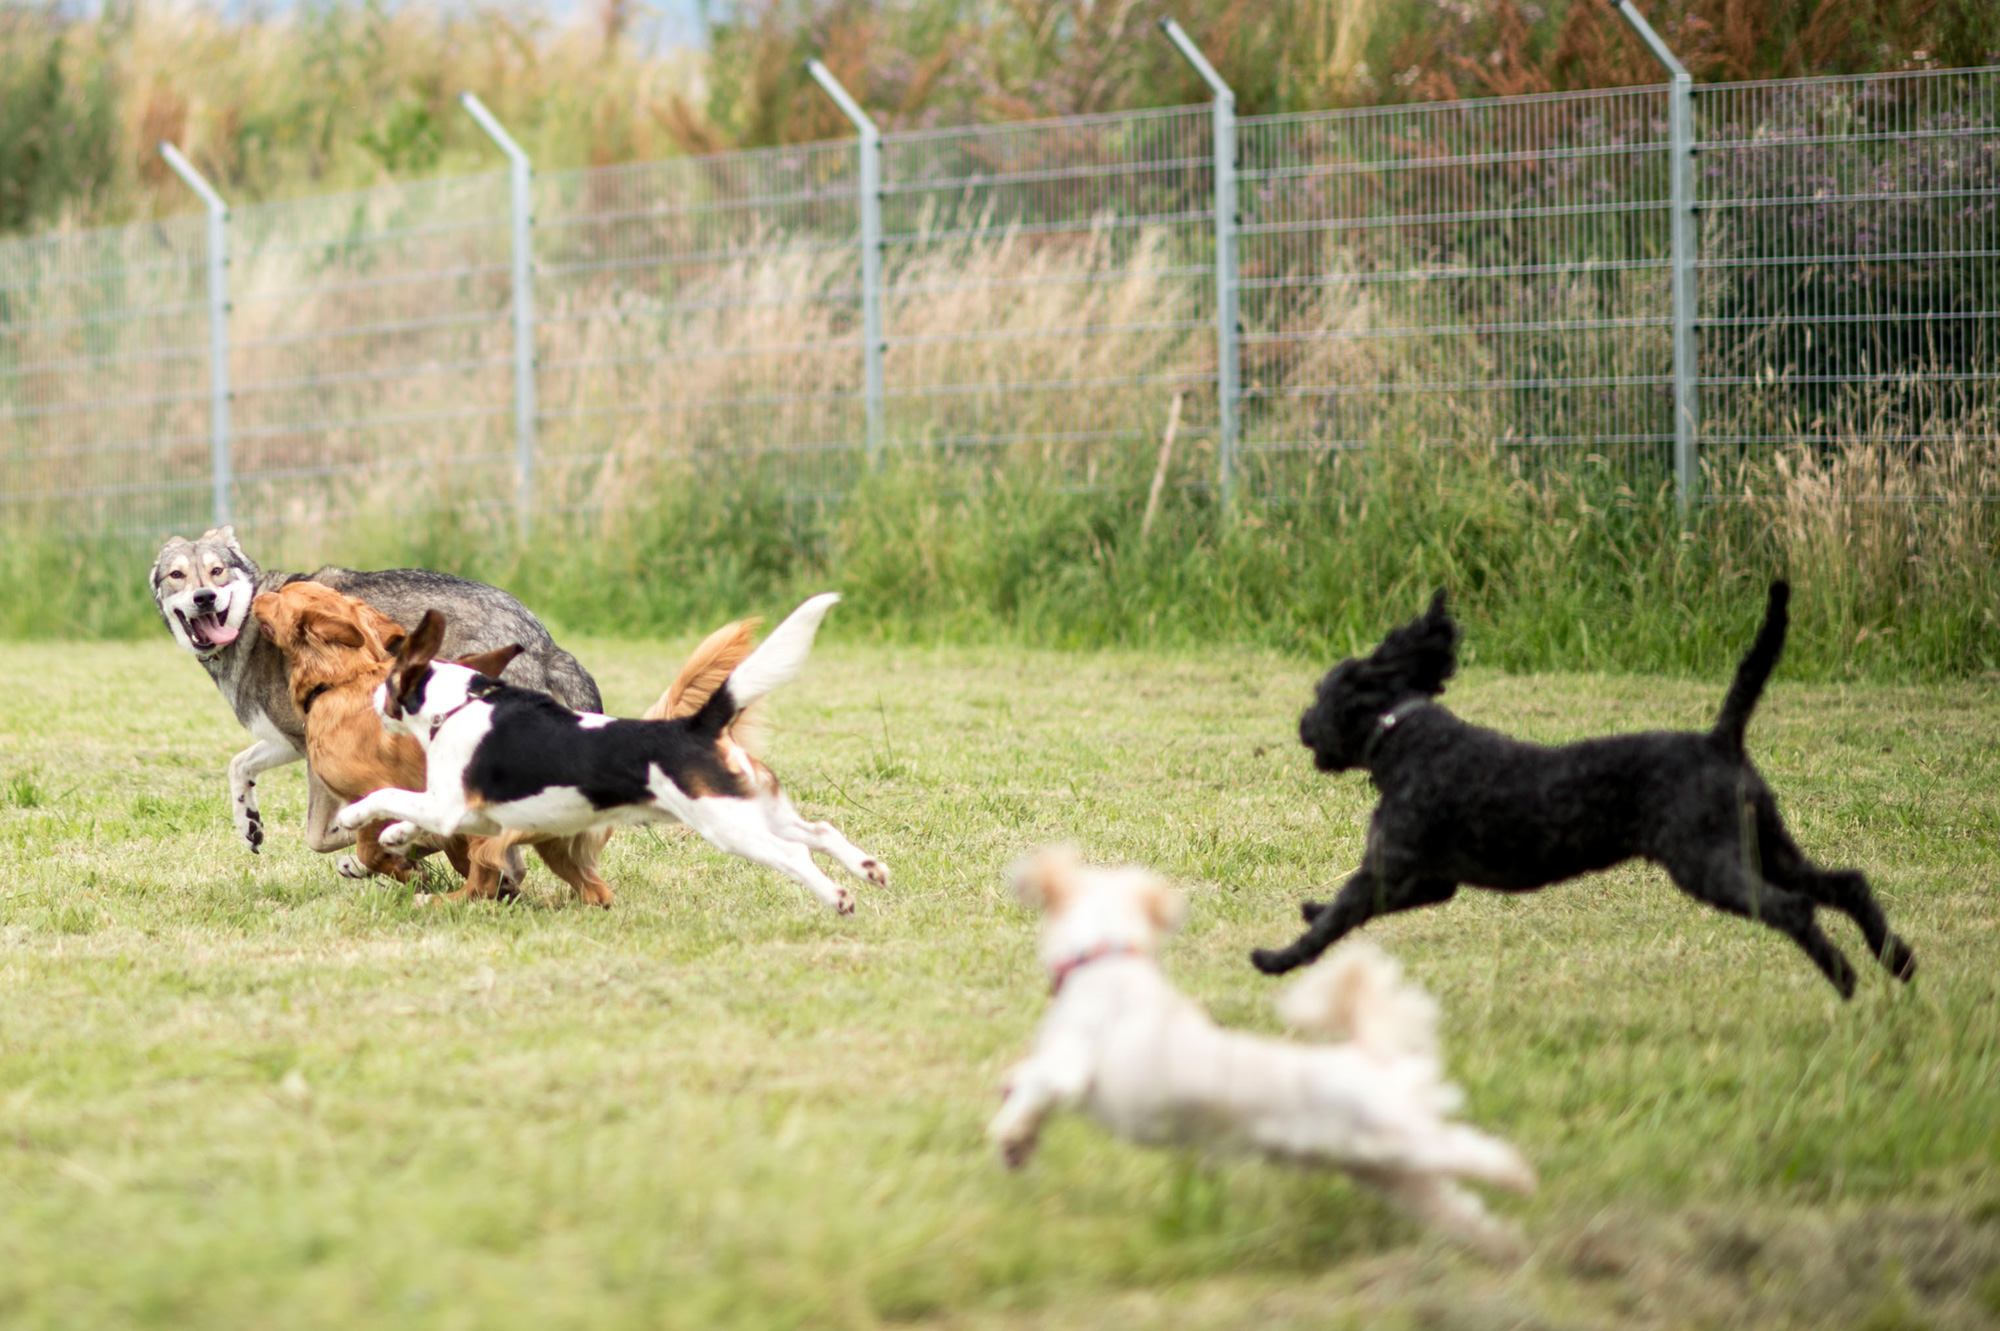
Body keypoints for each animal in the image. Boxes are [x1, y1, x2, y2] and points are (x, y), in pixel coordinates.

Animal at [154, 523, 600, 855]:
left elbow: (319, 834)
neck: (247, 621)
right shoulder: (289, 740)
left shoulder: (311, 746)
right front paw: (249, 823)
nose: (204, 598)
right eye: (177, 575)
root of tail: (541, 642)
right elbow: (239, 766)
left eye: (217, 571)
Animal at [334, 591, 884, 911]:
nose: (372, 703)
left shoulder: (449, 806)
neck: (460, 704)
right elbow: (411, 818)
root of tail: (696, 725)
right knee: (819, 832)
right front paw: (396, 835)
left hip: (728, 824)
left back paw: (837, 896)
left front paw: (355, 816)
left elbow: (387, 796)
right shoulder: (478, 816)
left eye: (388, 683)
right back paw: (868, 870)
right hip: (757, 807)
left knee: (792, 855)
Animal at [992, 843, 1536, 1247]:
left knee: (1473, 1151)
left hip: (1395, 1134)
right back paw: (1507, 1246)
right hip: (1386, 1169)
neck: (1106, 960)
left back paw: (1523, 1178)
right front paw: (1019, 1138)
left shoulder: (1069, 1062)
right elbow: (1026, 1084)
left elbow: (1040, 1081)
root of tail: (1367, 1055)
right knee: (1459, 1208)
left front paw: (1011, 1132)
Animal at [1248, 579, 1920, 995]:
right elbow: (1349, 909)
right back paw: (1899, 963)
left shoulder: (1391, 867)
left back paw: (1845, 979)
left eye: (1320, 692)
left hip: (1705, 861)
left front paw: (1276, 959)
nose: (1301, 724)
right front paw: (1306, 913)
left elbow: (1335, 920)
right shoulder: (1430, 880)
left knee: (1795, 908)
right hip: (1766, 843)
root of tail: (1719, 740)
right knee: (1847, 883)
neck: (1405, 738)